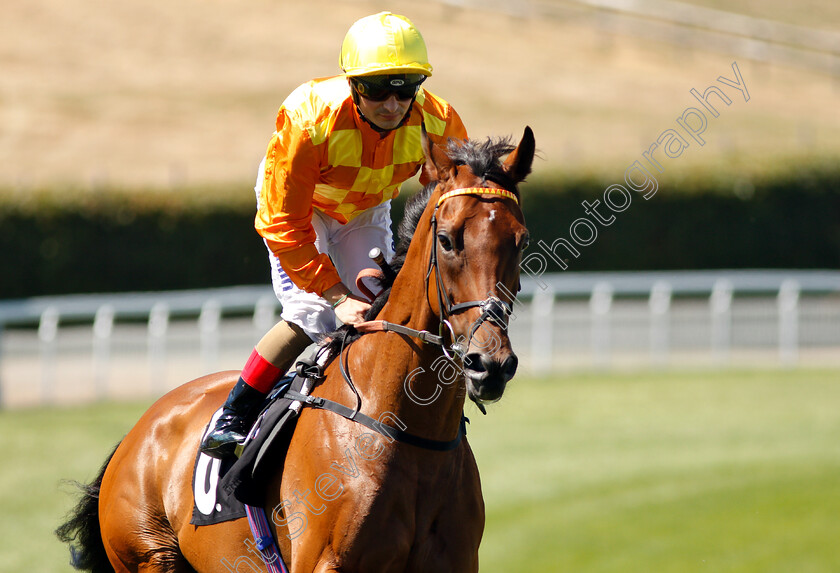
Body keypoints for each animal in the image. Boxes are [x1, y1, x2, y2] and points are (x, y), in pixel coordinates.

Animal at [59, 126, 536, 572]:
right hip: (147, 554)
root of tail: (136, 433)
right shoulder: (326, 561)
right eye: (448, 240)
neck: (403, 428)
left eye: (521, 240)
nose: (489, 364)